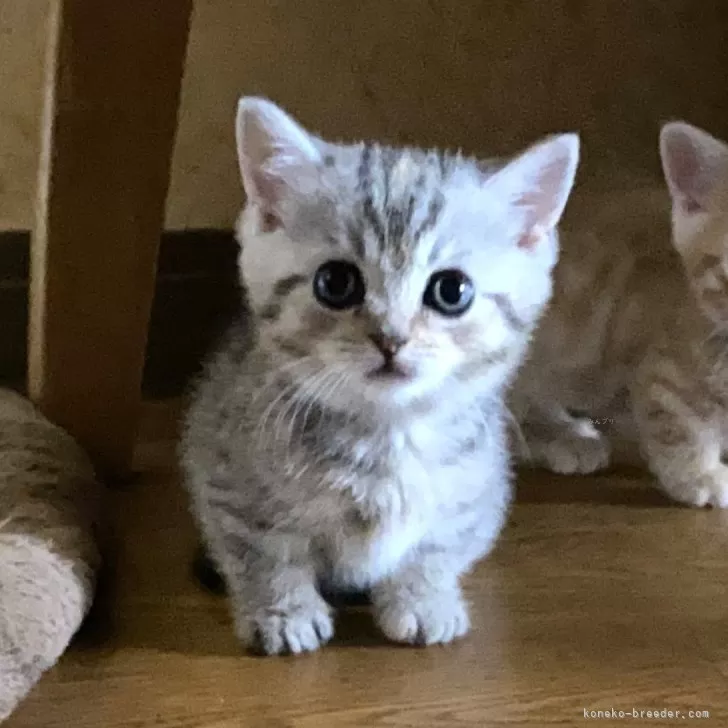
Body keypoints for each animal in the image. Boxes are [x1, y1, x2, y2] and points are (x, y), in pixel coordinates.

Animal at [182, 96, 580, 656]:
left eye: (451, 290)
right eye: (335, 282)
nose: (391, 339)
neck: (386, 434)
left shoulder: (476, 495)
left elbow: (437, 548)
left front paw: (422, 598)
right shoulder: (227, 479)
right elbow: (265, 553)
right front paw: (282, 611)